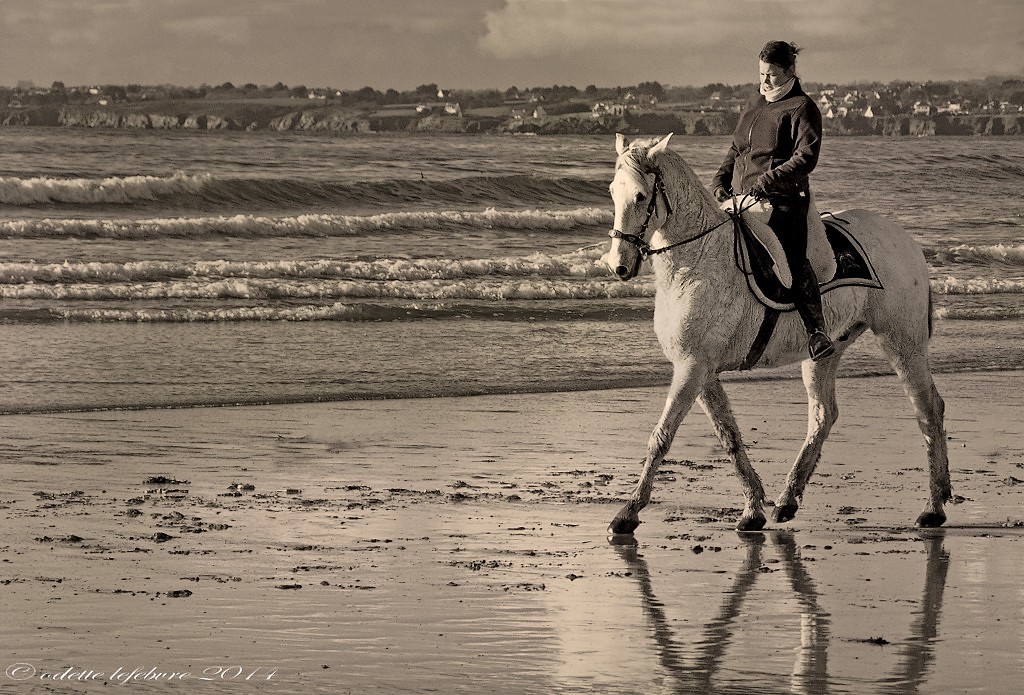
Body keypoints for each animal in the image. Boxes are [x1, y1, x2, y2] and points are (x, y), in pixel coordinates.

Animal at [602, 134, 946, 536]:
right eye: (612, 192)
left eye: (641, 196)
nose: (619, 266)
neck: (698, 259)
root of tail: (905, 239)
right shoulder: (701, 371)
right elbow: (730, 437)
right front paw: (753, 508)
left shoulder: (691, 367)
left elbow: (661, 437)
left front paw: (627, 513)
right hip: (826, 351)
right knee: (823, 415)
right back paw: (787, 501)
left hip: (902, 342)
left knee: (928, 409)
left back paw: (934, 507)